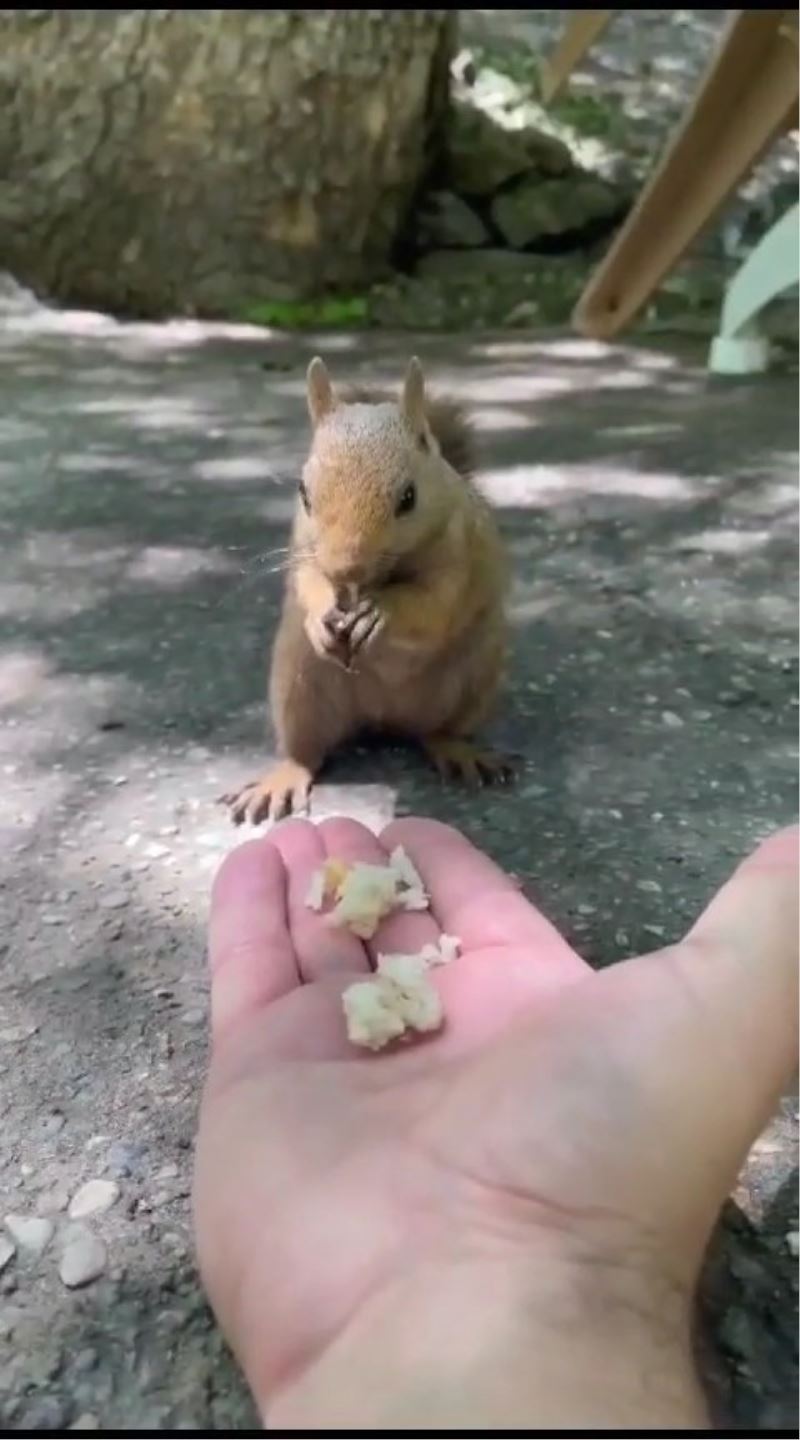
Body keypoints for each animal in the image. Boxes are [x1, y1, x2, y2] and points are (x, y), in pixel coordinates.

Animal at [223, 355, 512, 829]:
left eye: (409, 497)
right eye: (303, 492)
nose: (346, 569)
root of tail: (383, 718)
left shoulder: (459, 554)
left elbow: (435, 604)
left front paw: (380, 613)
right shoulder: (304, 548)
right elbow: (309, 580)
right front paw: (323, 614)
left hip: (473, 683)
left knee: (438, 732)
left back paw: (459, 752)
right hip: (298, 687)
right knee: (306, 754)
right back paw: (282, 779)